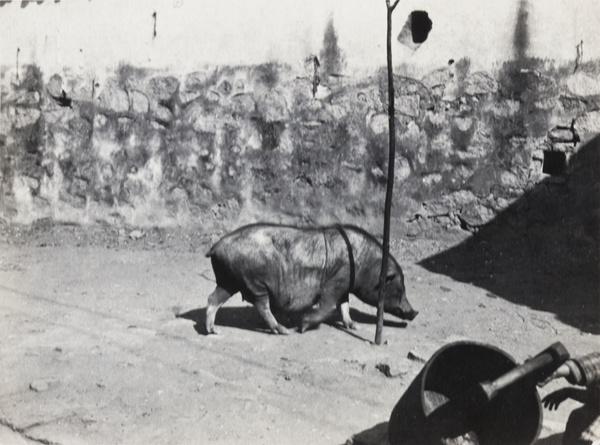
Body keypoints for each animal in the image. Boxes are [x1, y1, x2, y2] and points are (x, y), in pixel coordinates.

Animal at [203, 222, 418, 332]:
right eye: (399, 288)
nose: (414, 312)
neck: (363, 264)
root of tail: (216, 247)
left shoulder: (344, 288)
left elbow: (345, 307)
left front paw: (355, 326)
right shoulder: (335, 283)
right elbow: (328, 305)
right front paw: (303, 326)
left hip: (228, 280)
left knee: (213, 299)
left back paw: (213, 331)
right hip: (254, 282)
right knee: (262, 306)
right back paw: (284, 330)